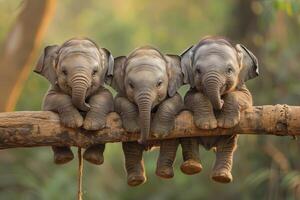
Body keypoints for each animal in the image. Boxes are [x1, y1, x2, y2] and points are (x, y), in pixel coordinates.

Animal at [113, 45, 186, 186]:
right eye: (131, 85)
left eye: (159, 83)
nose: (141, 140)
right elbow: (119, 100)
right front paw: (134, 128)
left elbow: (176, 100)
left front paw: (159, 132)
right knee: (131, 147)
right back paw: (136, 180)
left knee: (170, 142)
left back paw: (164, 174)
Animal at [180, 37, 258, 183]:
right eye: (198, 70)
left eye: (229, 70)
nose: (220, 102)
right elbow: (191, 97)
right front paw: (207, 125)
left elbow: (246, 97)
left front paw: (225, 122)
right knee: (189, 138)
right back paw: (192, 168)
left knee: (227, 144)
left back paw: (222, 177)